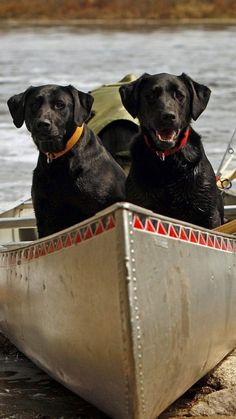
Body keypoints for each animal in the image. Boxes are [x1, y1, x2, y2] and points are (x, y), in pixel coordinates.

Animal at [120, 73, 223, 230]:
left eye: (180, 95)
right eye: (151, 95)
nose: (168, 116)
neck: (168, 161)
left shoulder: (209, 214)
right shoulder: (140, 202)